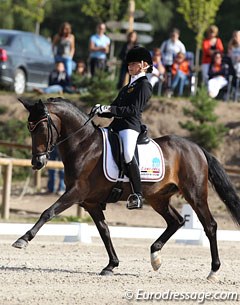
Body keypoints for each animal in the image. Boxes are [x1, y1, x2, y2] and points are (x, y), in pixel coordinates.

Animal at [12, 97, 240, 280]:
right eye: (29, 128)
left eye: (41, 128)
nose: (37, 162)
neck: (84, 146)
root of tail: (197, 148)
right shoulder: (91, 202)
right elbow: (104, 231)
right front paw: (111, 265)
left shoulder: (76, 193)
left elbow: (48, 212)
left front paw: (23, 240)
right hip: (158, 198)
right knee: (175, 221)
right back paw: (155, 257)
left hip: (195, 195)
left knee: (210, 226)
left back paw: (213, 270)